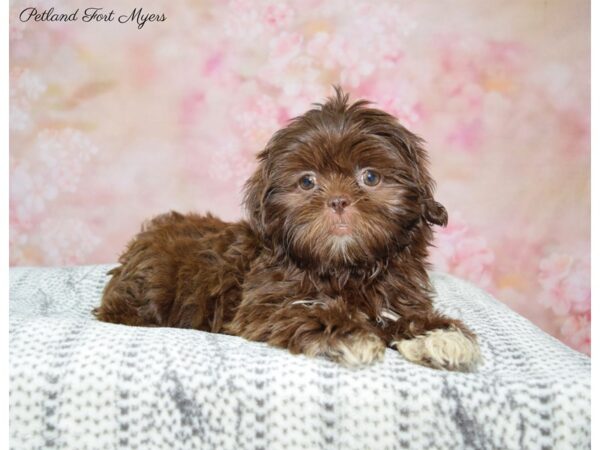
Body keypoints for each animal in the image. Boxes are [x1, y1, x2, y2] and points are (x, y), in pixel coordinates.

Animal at [97, 88, 482, 370]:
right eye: (307, 181)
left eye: (370, 177)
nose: (338, 201)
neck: (345, 270)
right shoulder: (262, 305)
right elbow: (304, 310)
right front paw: (351, 334)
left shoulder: (398, 297)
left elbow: (405, 317)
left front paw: (438, 334)